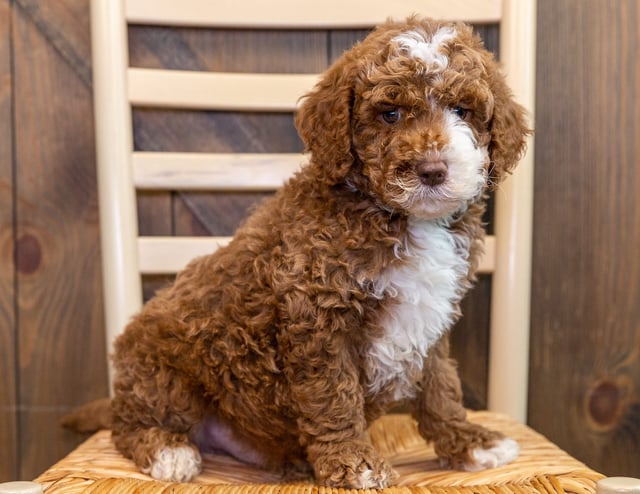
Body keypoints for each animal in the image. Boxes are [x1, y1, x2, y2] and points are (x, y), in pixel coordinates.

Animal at [97, 16, 528, 490]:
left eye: (462, 110)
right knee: (128, 422)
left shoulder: (429, 319)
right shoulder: (319, 317)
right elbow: (335, 397)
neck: (401, 217)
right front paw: (355, 462)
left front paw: (470, 441)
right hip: (162, 374)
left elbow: (441, 389)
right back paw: (166, 450)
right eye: (390, 113)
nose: (431, 170)